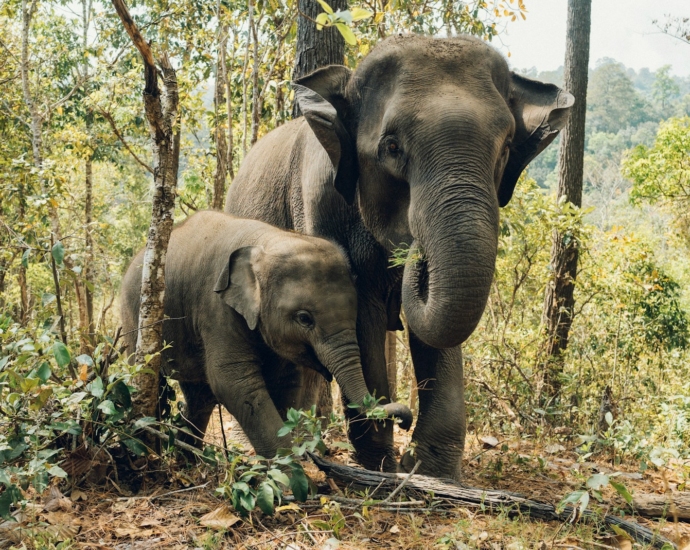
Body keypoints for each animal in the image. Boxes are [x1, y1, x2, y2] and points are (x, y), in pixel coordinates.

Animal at [120, 212, 408, 462]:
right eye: (304, 318)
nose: (405, 419)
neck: (266, 241)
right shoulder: (216, 309)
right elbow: (233, 381)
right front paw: (293, 475)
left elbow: (287, 382)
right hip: (134, 319)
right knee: (151, 380)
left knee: (200, 396)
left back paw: (189, 462)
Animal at [224, 35, 568, 484]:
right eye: (391, 147)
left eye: (507, 148)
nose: (414, 251)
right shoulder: (321, 206)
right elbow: (362, 313)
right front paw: (383, 463)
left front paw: (430, 471)